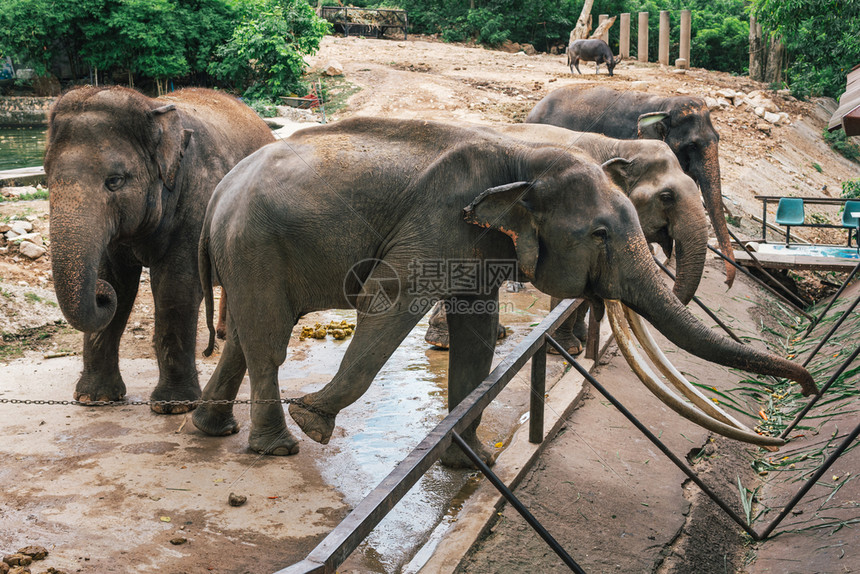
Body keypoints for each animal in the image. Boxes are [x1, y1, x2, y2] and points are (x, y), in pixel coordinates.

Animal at [45, 85, 274, 412]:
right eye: (46, 180)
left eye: (114, 181)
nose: (100, 294)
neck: (151, 107)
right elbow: (118, 281)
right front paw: (95, 399)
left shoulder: (198, 198)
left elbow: (175, 285)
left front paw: (174, 406)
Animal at [191, 117, 816, 468]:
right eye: (600, 234)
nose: (808, 388)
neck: (523, 162)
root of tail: (218, 191)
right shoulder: (435, 224)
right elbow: (387, 303)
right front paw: (315, 420)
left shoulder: (477, 241)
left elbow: (476, 334)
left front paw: (466, 463)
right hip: (256, 246)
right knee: (267, 341)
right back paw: (280, 446)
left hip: (249, 251)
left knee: (245, 338)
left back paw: (211, 429)